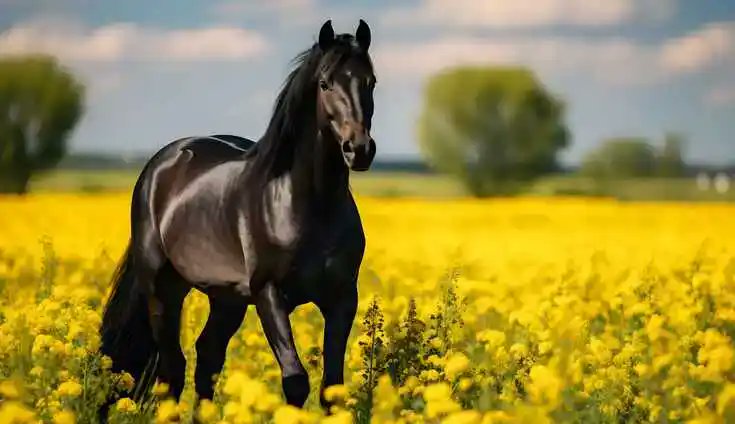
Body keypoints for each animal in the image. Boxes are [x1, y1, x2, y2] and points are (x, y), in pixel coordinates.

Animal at [98, 19, 377, 415]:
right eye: (325, 83)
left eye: (371, 81)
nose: (359, 150)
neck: (308, 204)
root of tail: (162, 163)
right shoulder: (269, 294)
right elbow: (295, 381)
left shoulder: (341, 297)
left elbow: (331, 388)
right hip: (163, 290)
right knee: (173, 370)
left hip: (226, 298)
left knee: (207, 358)